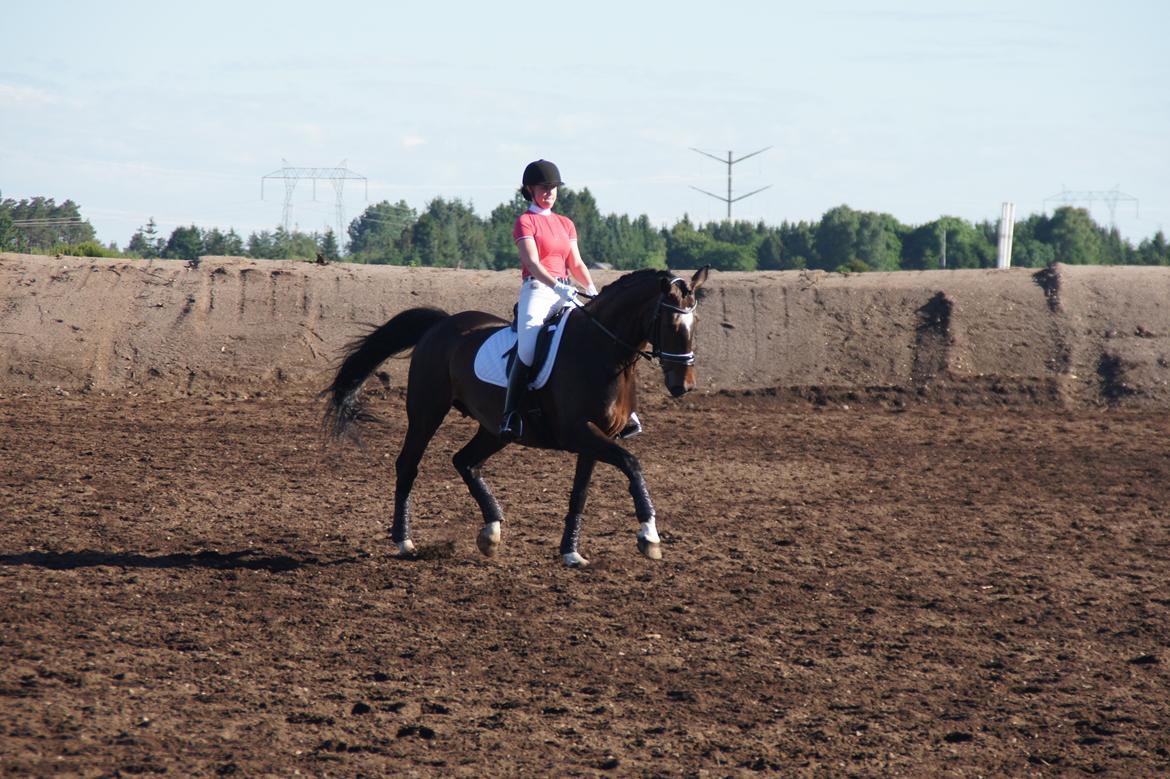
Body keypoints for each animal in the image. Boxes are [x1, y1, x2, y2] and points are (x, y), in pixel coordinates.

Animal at [320, 265, 706, 563]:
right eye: (672, 324)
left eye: (695, 323)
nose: (682, 386)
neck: (604, 353)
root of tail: (442, 323)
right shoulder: (579, 432)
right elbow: (631, 463)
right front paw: (649, 537)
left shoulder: (597, 437)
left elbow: (580, 492)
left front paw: (570, 551)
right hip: (426, 411)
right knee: (408, 465)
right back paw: (404, 540)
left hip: (494, 428)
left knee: (465, 461)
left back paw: (491, 531)